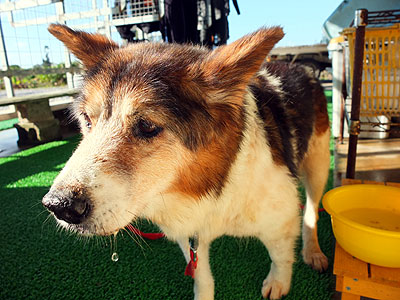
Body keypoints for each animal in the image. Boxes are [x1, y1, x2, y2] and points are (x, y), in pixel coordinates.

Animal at [43, 24, 330, 300]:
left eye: (146, 126)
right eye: (86, 119)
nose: (60, 206)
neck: (214, 186)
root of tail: (298, 65)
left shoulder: (281, 220)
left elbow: (280, 256)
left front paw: (278, 283)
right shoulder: (189, 234)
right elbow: (202, 277)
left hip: (318, 165)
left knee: (311, 211)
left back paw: (313, 251)